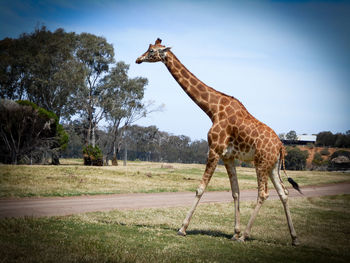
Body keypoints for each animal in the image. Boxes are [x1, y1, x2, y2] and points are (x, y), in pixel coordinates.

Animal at [135, 38, 300, 246]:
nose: (137, 59)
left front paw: (182, 228)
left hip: (261, 163)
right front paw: (234, 232)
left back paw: (246, 236)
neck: (212, 110)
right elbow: (235, 191)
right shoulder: (228, 156)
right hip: (272, 166)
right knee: (283, 193)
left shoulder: (214, 149)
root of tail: (280, 146)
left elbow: (200, 189)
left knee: (263, 193)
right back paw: (294, 238)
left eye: (151, 51)